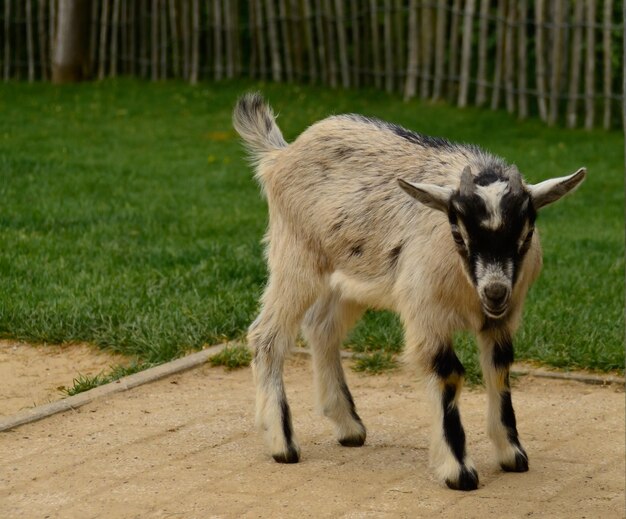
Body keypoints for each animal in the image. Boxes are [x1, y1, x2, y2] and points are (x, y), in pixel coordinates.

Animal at [232, 92, 584, 492]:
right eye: (458, 232)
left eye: (526, 232)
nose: (494, 291)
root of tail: (280, 154)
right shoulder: (426, 311)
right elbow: (448, 372)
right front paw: (458, 470)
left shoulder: (503, 317)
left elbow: (499, 368)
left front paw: (512, 454)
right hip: (295, 258)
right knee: (267, 335)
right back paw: (283, 444)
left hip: (349, 279)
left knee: (322, 328)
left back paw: (348, 427)